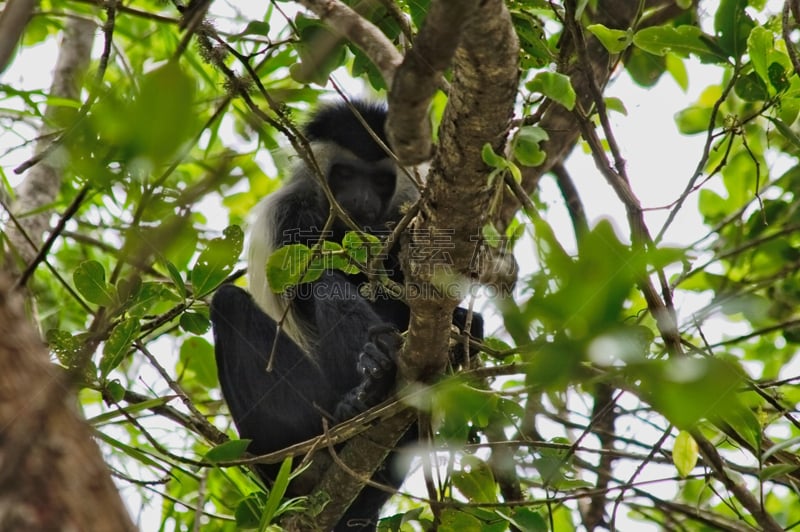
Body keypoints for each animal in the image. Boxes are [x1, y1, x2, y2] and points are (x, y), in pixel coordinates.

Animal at [209, 102, 482, 528]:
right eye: (346, 174)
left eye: (381, 180)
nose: (361, 200)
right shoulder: (294, 217)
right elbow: (307, 284)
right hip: (300, 413)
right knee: (234, 303)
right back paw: (368, 385)